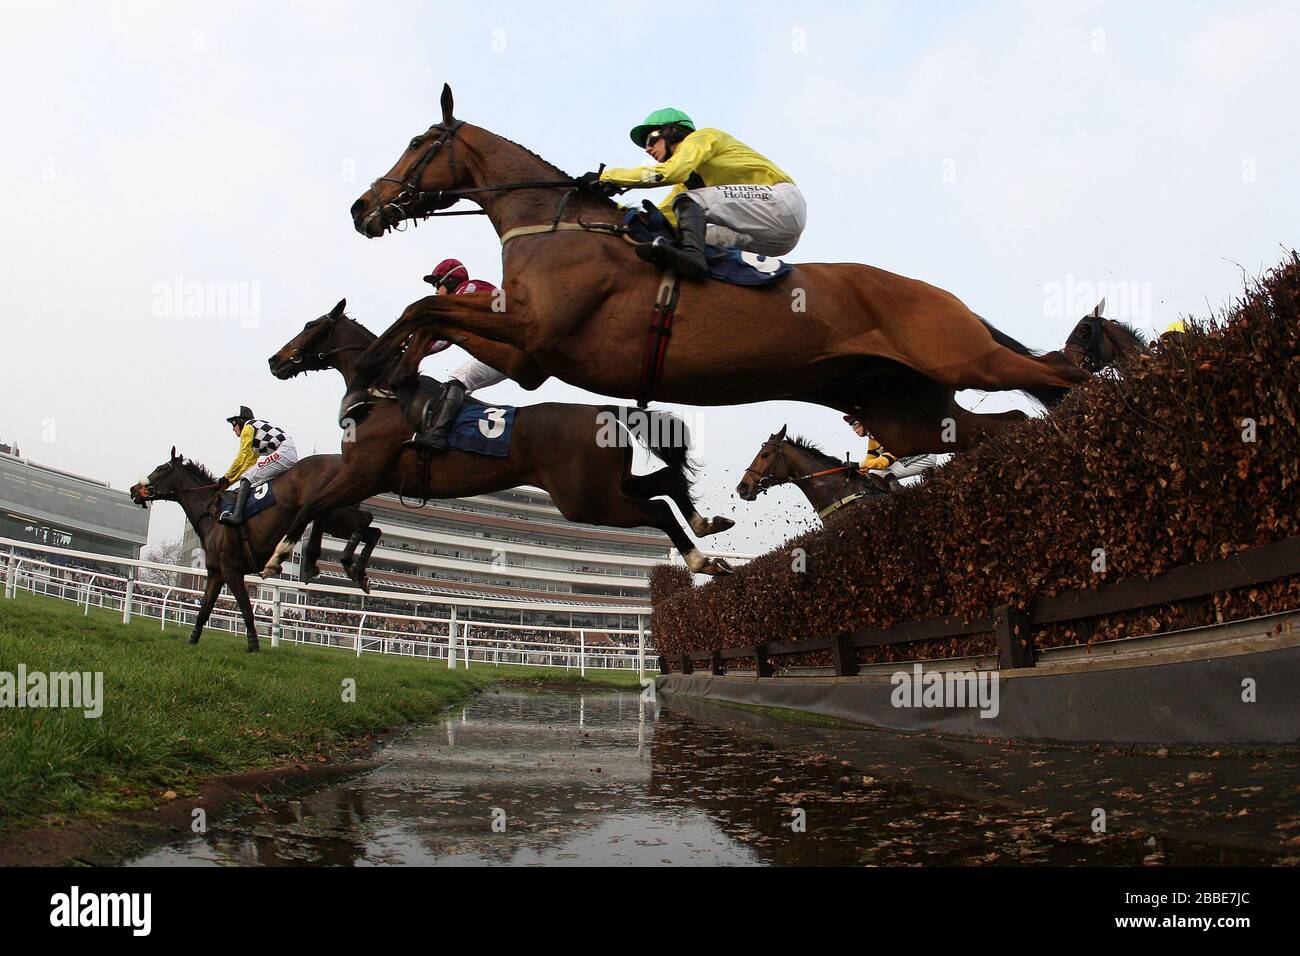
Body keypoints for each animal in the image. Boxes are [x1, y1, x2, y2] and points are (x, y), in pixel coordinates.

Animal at [128, 452, 379, 655]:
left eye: (160, 468)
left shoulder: (232, 570)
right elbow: (205, 608)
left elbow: (246, 609)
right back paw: (356, 571)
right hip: (337, 518)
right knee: (371, 528)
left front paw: (254, 645)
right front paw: (192, 640)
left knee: (362, 521)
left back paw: (327, 564)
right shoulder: (216, 572)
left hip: (331, 508)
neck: (212, 514)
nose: (133, 490)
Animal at [258, 303, 738, 580]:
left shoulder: (365, 472)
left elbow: (311, 504)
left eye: (310, 325)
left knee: (657, 509)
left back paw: (701, 560)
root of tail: (608, 412)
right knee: (666, 485)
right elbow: (323, 507)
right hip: (602, 488)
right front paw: (323, 561)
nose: (275, 360)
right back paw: (706, 528)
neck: (380, 393)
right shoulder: (365, 477)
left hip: (585, 500)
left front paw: (279, 556)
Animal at [343, 85, 1107, 455]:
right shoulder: (532, 355)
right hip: (906, 410)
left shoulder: (537, 330)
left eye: (417, 141)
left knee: (1062, 379)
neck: (553, 225)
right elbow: (426, 319)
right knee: (1008, 420)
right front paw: (383, 386)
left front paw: (371, 374)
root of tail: (943, 295)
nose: (362, 206)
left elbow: (420, 310)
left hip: (958, 357)